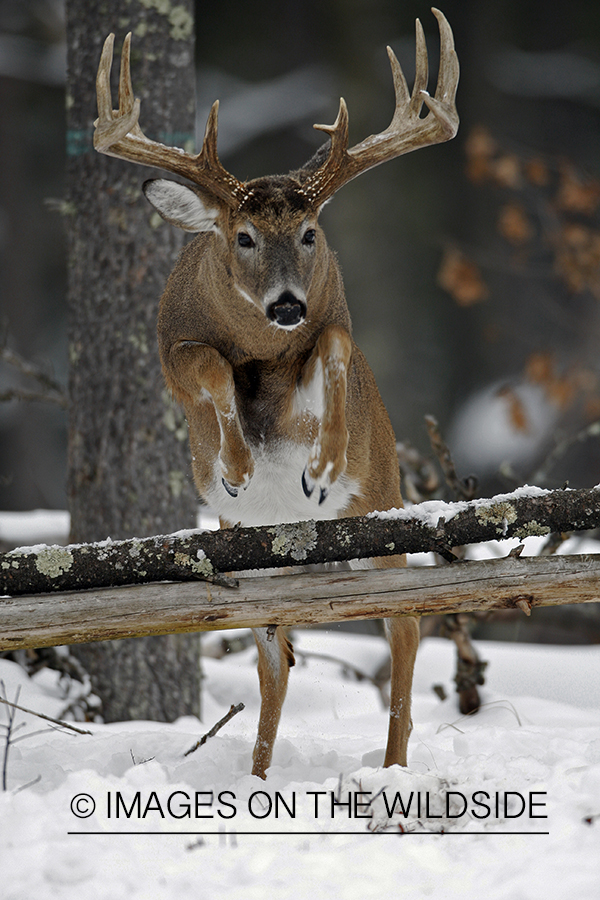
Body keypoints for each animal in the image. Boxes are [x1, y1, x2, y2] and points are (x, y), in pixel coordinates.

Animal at [94, 8, 460, 780]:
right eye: (243, 236)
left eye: (312, 231)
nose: (288, 304)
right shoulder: (177, 359)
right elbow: (207, 366)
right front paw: (235, 469)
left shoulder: (319, 354)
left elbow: (335, 343)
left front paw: (318, 468)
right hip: (257, 548)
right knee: (275, 653)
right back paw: (258, 776)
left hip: (381, 503)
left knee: (405, 621)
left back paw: (390, 769)